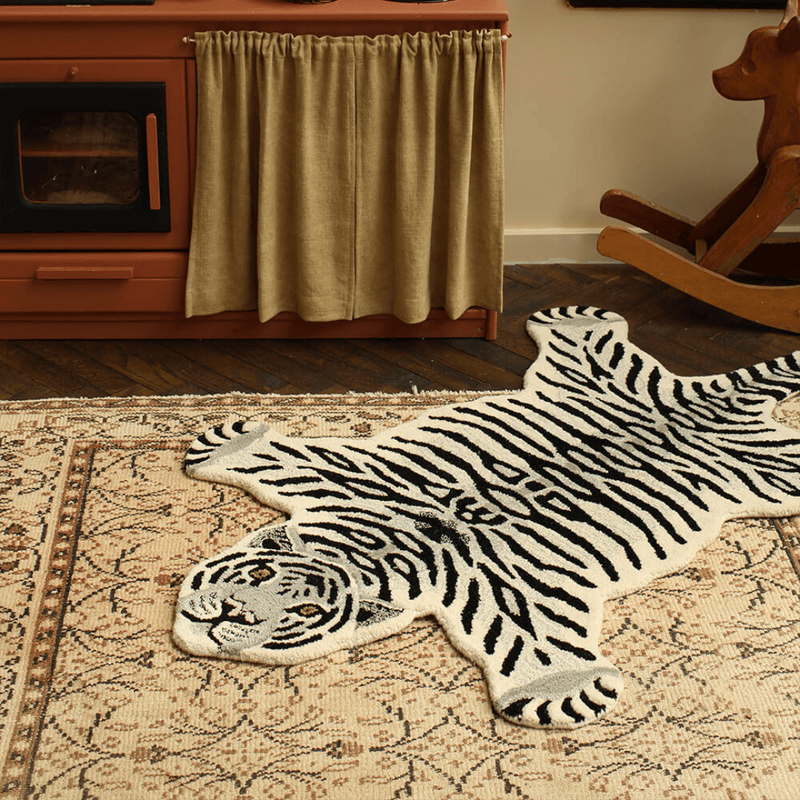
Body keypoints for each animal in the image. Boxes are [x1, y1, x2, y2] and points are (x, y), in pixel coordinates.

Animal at [173, 306, 800, 729]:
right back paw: (574, 321)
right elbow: (280, 457)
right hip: (590, 381)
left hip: (765, 471)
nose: (234, 612)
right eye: (257, 576)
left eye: (304, 611)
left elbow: (534, 640)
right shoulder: (345, 480)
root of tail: (702, 399)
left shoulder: (502, 588)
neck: (378, 546)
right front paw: (231, 444)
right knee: (591, 348)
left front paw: (562, 689)